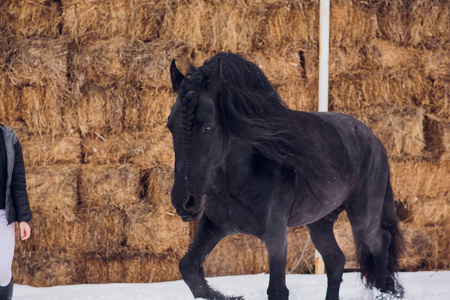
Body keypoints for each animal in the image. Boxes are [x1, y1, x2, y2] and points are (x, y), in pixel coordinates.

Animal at [166, 53, 404, 300]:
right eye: (170, 126)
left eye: (207, 127)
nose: (184, 201)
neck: (240, 178)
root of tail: (374, 140)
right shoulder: (215, 224)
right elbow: (188, 267)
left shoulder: (275, 233)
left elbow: (278, 289)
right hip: (320, 221)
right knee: (336, 260)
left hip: (362, 216)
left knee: (380, 242)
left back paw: (387, 292)